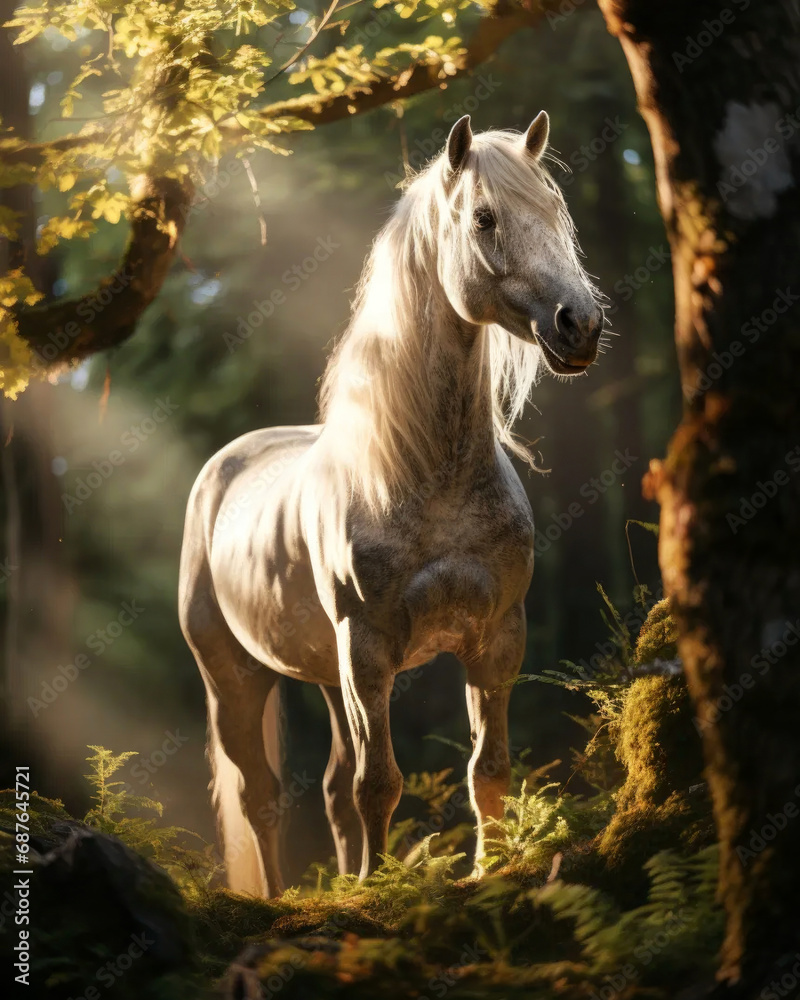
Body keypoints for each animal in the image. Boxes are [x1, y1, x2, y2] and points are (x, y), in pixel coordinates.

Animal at [178, 112, 604, 897]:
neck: (431, 477)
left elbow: (487, 770)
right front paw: (384, 892)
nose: (579, 324)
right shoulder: (369, 647)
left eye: (555, 211)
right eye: (484, 218)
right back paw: (280, 897)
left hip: (328, 677)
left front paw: (485, 870)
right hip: (238, 677)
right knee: (261, 795)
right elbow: (380, 784)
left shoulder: (498, 637)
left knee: (330, 787)